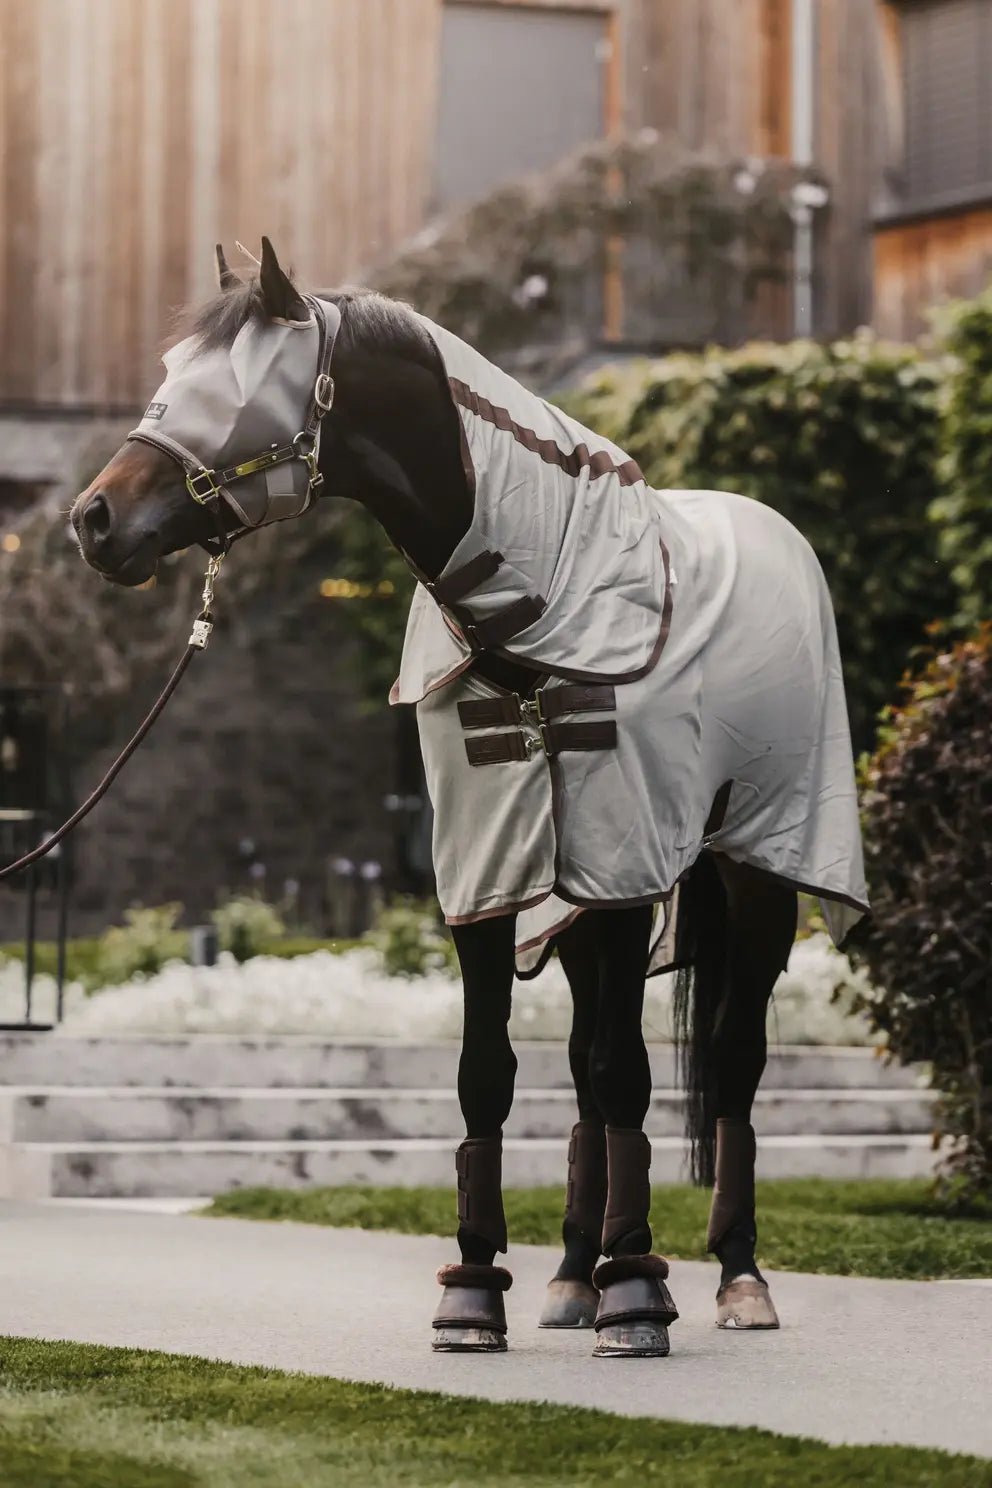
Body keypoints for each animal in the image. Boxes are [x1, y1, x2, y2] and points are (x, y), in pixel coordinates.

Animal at [71, 238, 868, 1357]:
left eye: (232, 389)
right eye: (170, 373)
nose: (94, 520)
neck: (539, 607)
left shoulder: (626, 866)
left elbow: (627, 1071)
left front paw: (636, 1295)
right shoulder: (490, 876)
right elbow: (492, 1072)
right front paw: (477, 1292)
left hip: (755, 873)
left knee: (730, 1059)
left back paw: (734, 1277)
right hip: (568, 907)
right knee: (580, 1066)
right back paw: (573, 1275)